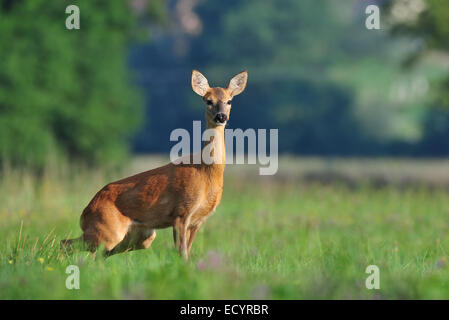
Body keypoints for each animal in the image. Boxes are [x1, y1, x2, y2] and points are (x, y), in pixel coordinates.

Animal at [61, 70, 247, 260]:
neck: (205, 171)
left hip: (142, 236)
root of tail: (85, 213)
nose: (221, 116)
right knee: (68, 243)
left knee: (96, 254)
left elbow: (187, 251)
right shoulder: (181, 211)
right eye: (208, 101)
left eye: (229, 101)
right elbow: (181, 253)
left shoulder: (199, 220)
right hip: (108, 229)